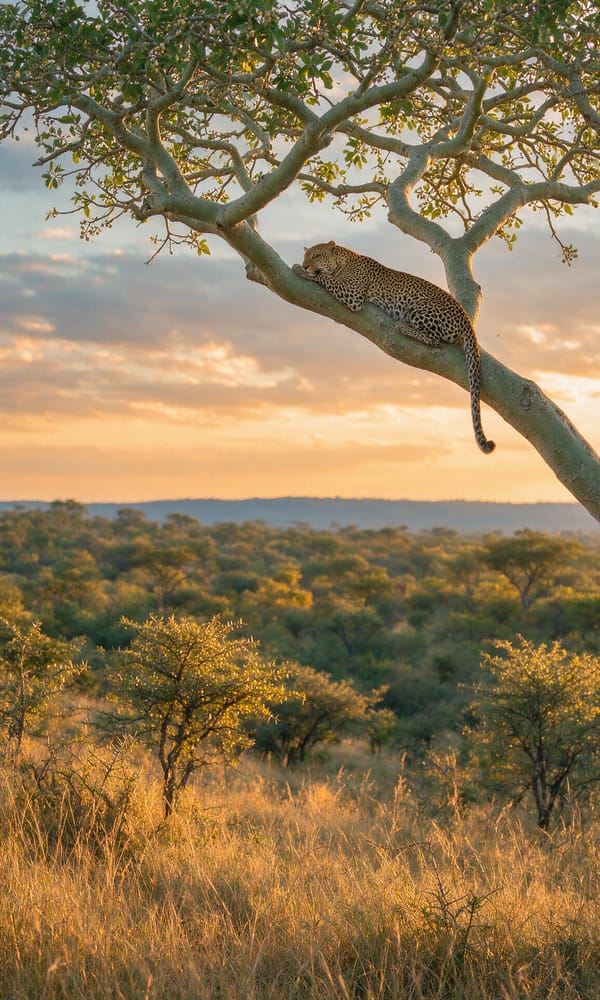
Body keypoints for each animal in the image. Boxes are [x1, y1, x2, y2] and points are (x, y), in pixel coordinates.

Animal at [293, 241, 495, 454]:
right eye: (307, 256)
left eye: (316, 256)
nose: (305, 265)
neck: (343, 261)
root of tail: (466, 320)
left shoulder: (353, 294)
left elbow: (324, 278)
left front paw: (301, 271)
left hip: (421, 307)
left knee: (434, 340)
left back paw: (403, 326)